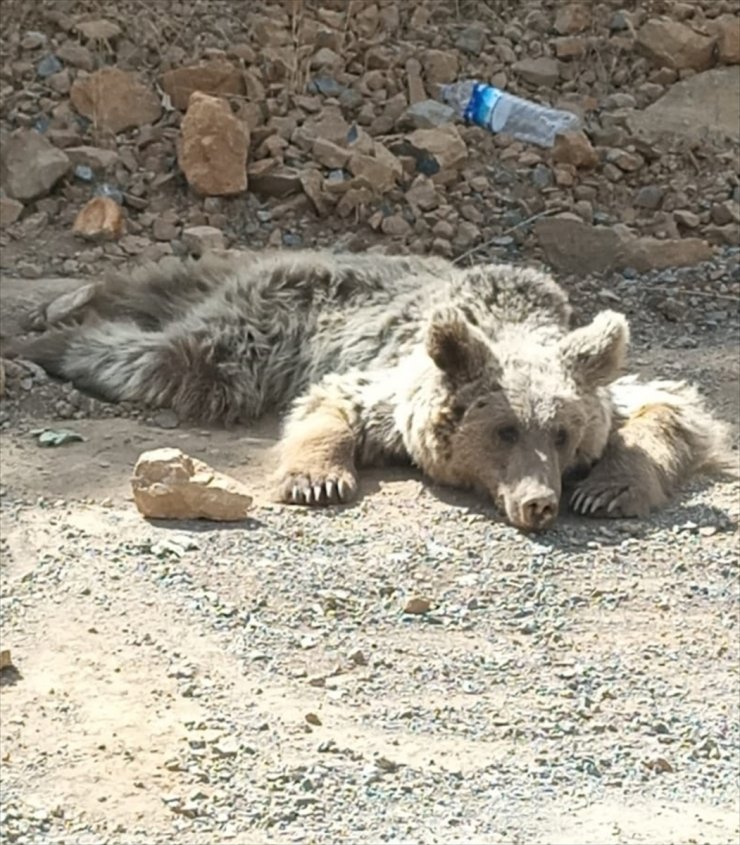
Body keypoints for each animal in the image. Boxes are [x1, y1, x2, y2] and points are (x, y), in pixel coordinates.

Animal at [10, 247, 736, 532]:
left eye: (561, 434)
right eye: (504, 430)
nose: (540, 503)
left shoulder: (601, 379)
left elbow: (672, 406)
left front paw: (609, 489)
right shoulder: (388, 381)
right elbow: (330, 403)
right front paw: (317, 478)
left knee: (156, 291)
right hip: (256, 331)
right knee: (172, 357)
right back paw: (46, 336)